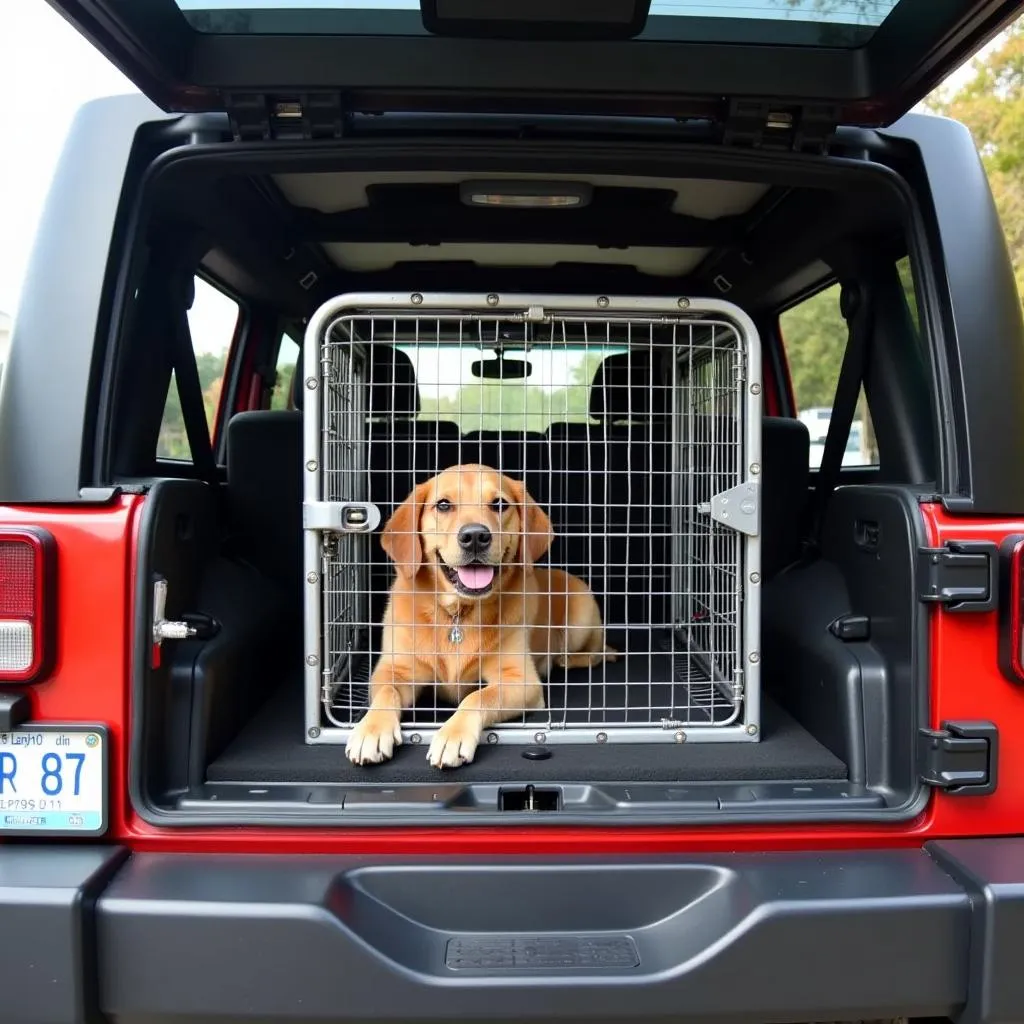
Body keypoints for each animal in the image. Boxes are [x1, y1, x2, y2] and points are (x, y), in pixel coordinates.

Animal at [346, 464, 614, 770]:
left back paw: (566, 658)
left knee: (596, 652)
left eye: (499, 504)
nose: (475, 536)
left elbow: (478, 696)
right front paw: (371, 730)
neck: (458, 615)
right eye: (443, 505)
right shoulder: (393, 670)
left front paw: (453, 735)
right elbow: (386, 692)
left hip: (581, 615)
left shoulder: (520, 680)